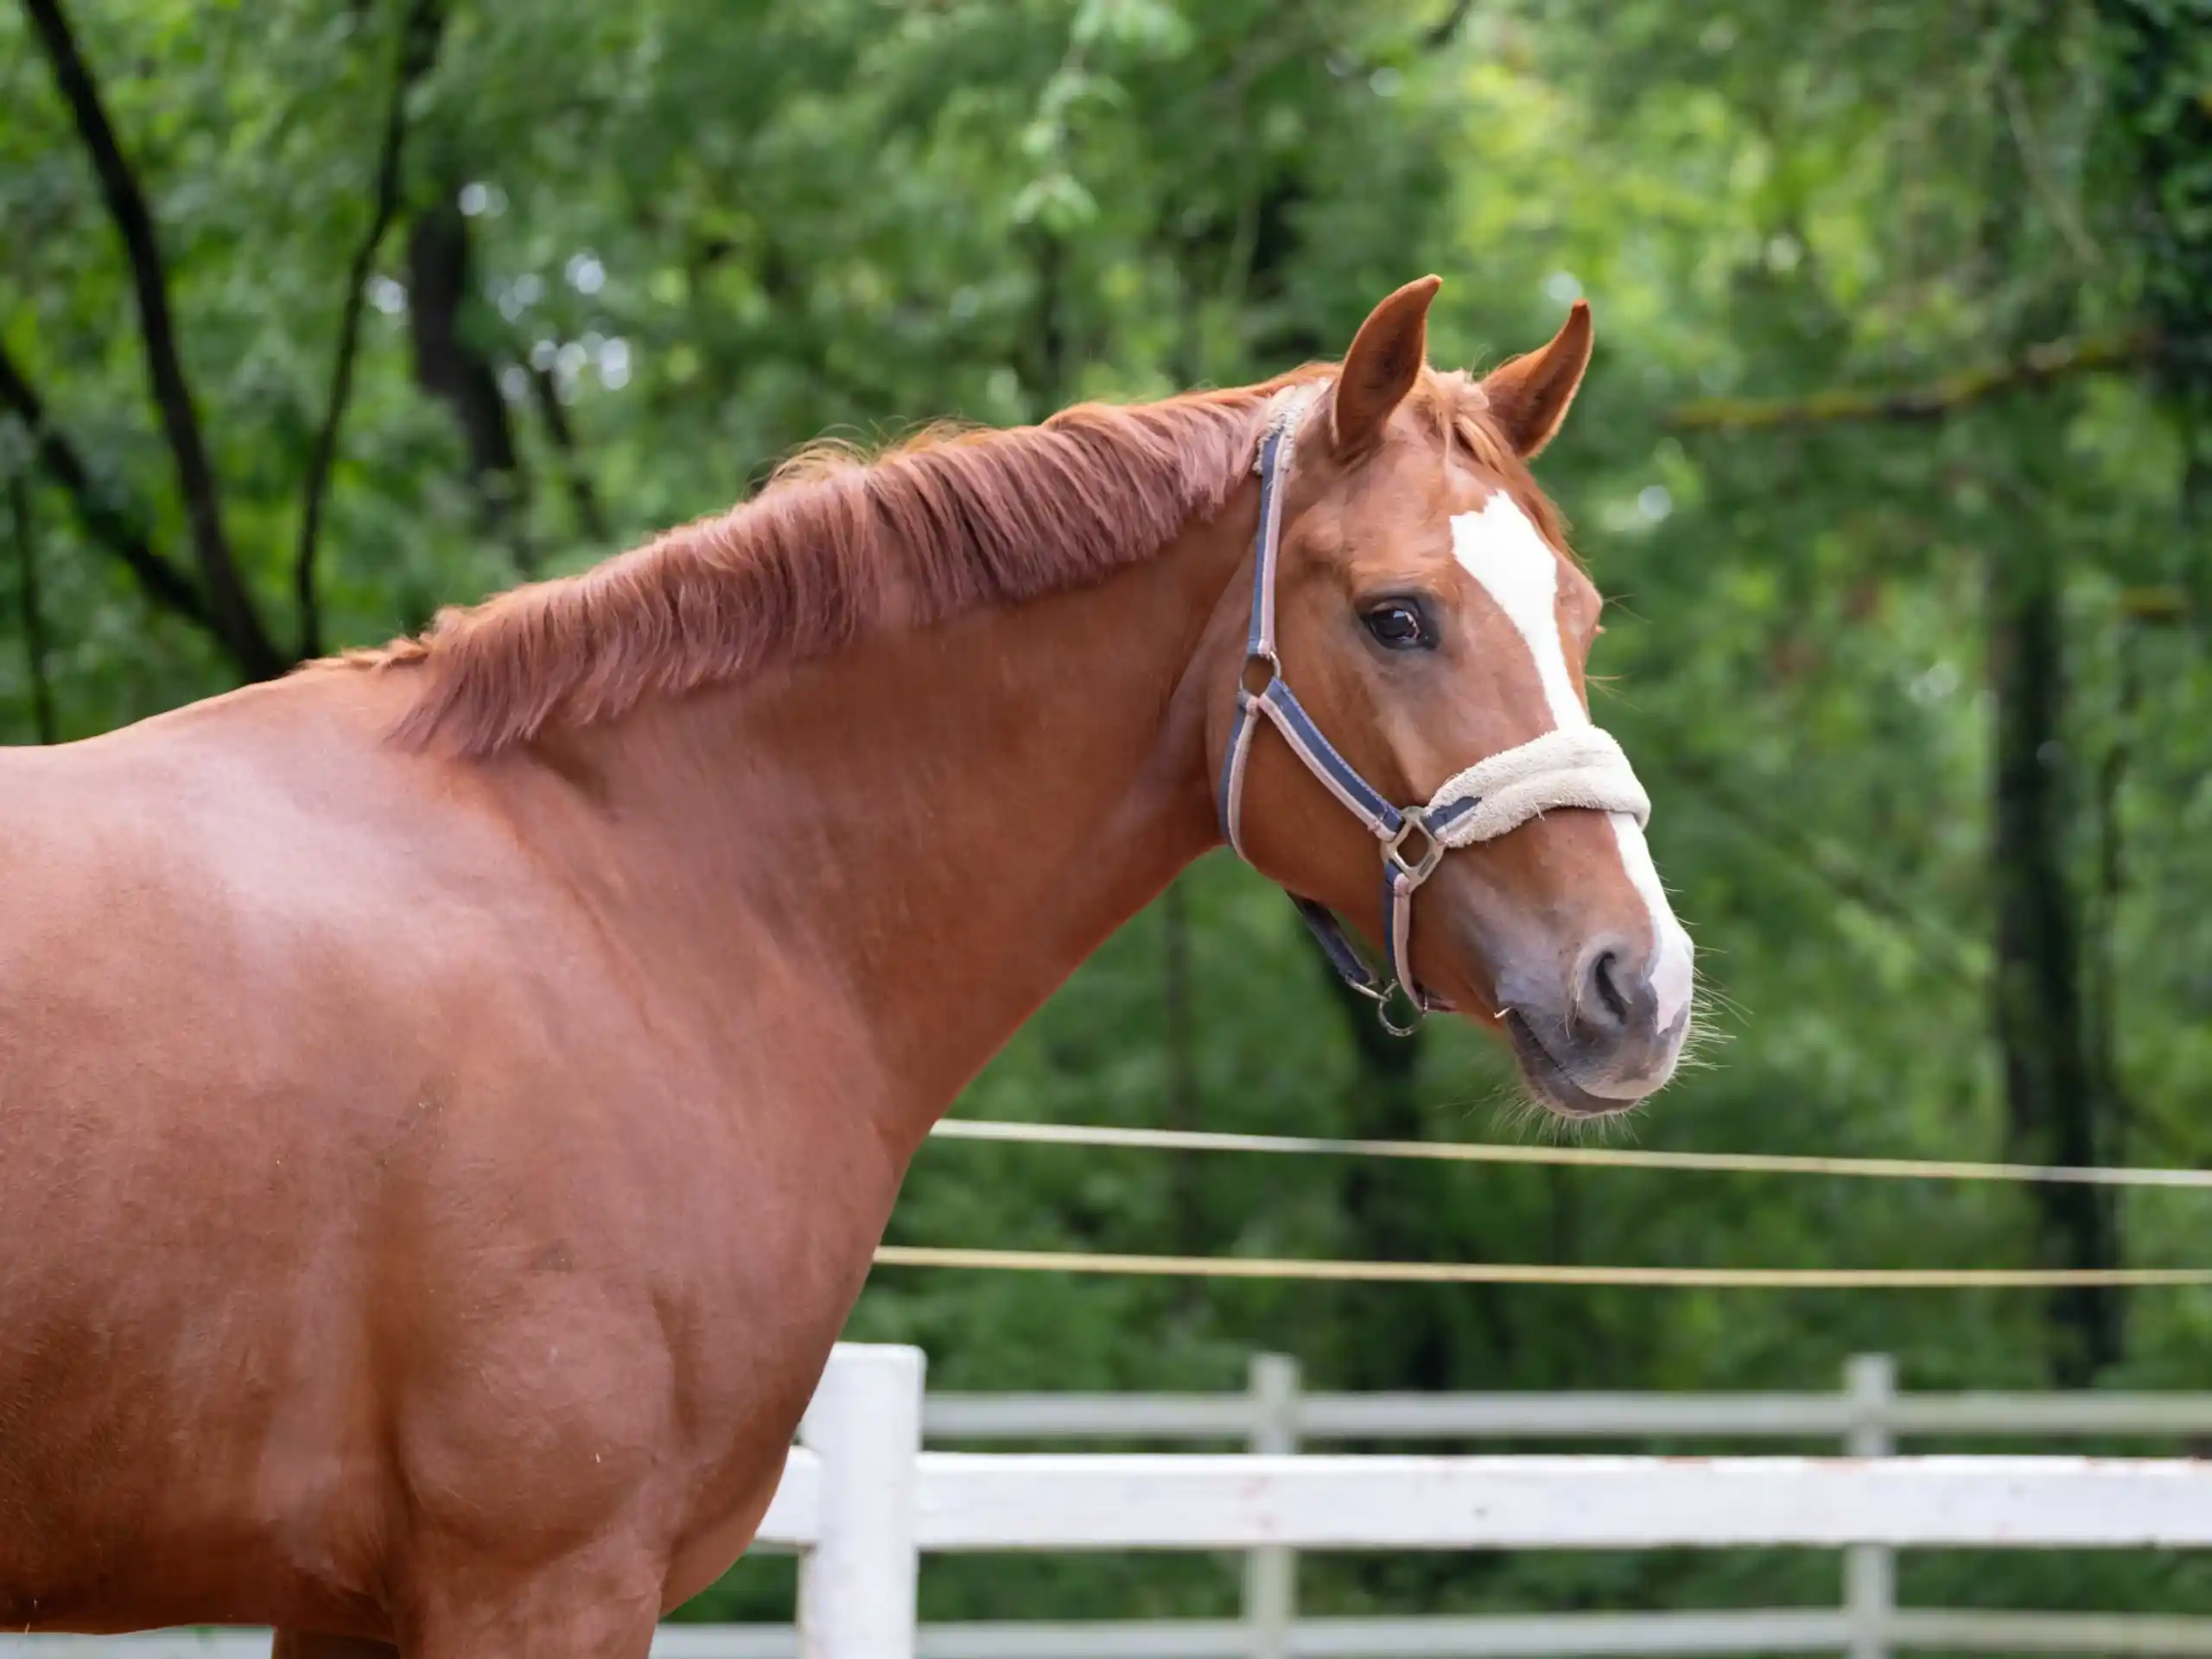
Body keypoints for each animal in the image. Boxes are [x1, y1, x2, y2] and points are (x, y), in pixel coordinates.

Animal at [0, 276, 1692, 1655]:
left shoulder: (355, 1602)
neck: (632, 901)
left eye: (1584, 616)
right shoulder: (538, 1584)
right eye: (1398, 617)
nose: (1638, 983)